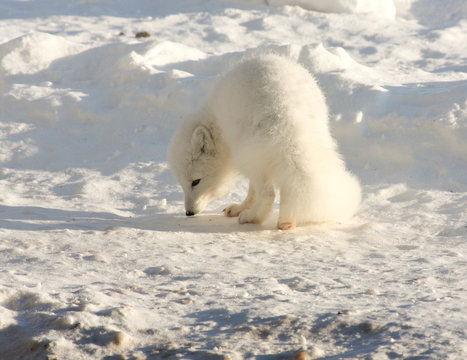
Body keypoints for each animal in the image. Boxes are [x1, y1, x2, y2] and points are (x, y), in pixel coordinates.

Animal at [169, 54, 362, 229]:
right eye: (182, 183)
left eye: (196, 181)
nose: (189, 213)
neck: (216, 119)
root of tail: (284, 115)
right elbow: (253, 190)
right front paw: (240, 208)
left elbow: (254, 191)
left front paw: (243, 210)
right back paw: (286, 221)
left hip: (250, 154)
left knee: (269, 194)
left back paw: (252, 217)